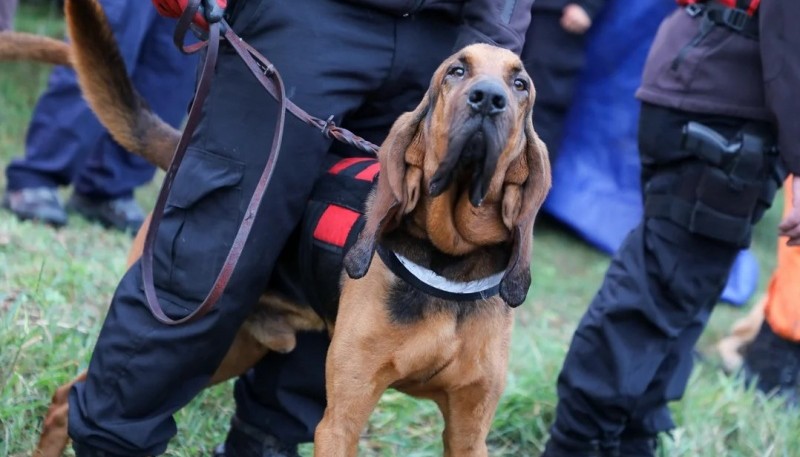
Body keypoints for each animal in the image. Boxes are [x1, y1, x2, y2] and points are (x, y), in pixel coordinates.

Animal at [7, 1, 552, 454]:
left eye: (520, 84)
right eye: (456, 71)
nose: (488, 99)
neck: (449, 260)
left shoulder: (469, 430)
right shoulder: (341, 421)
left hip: (234, 350)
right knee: (76, 399)